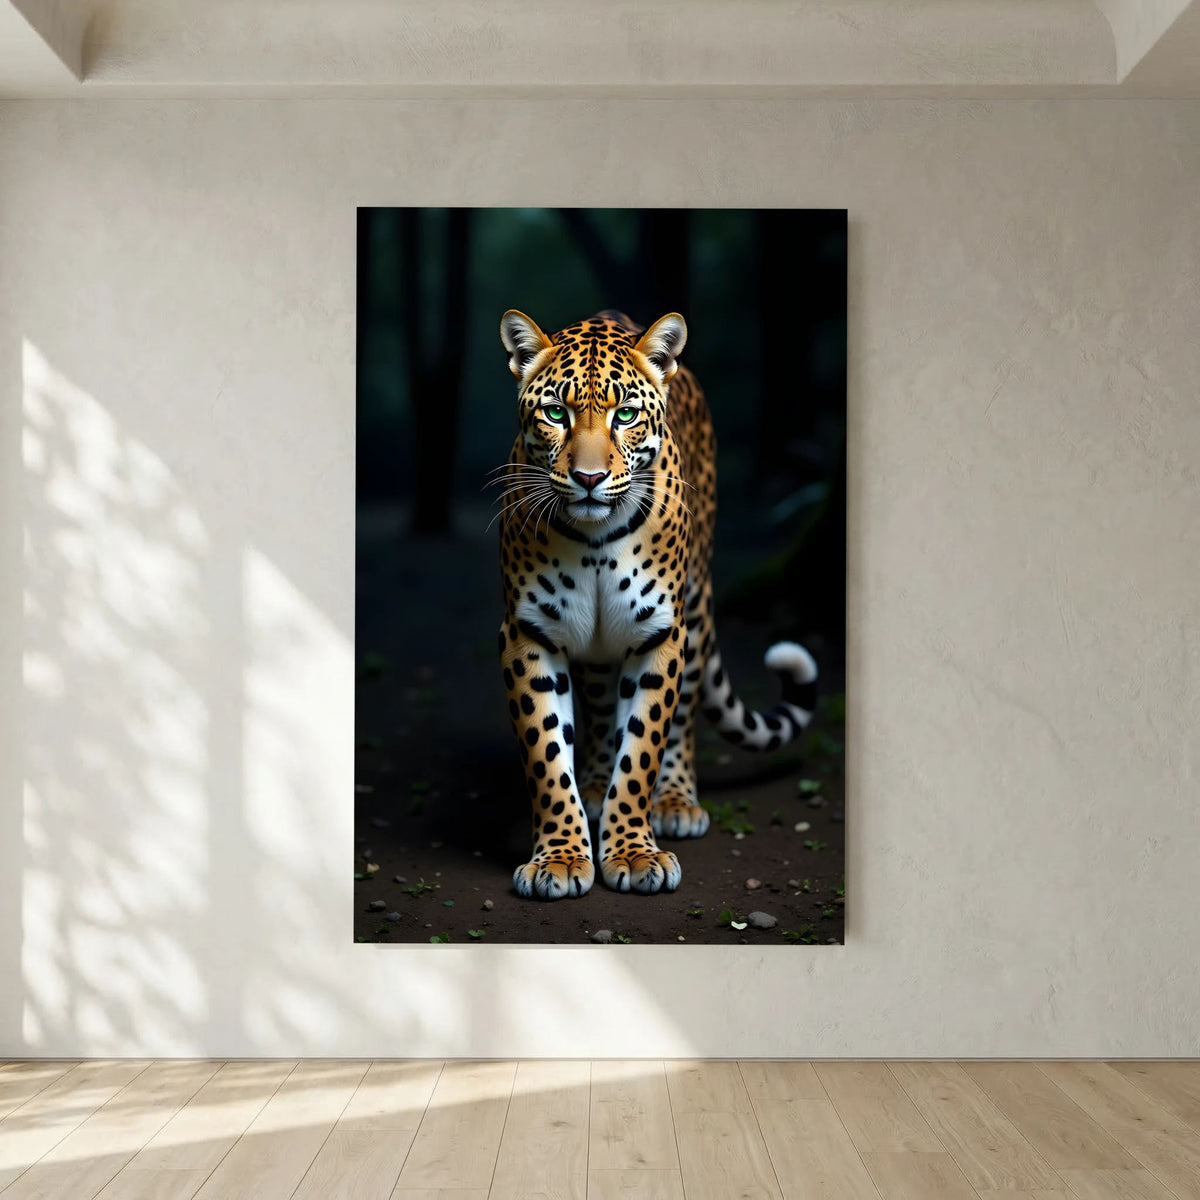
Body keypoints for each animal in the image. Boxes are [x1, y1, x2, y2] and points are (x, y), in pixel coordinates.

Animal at [495, 308, 818, 900]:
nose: (590, 479)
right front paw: (561, 857)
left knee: (683, 715)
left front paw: (633, 853)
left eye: (625, 415)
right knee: (600, 710)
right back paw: (594, 785)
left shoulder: (659, 635)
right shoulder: (529, 634)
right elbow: (547, 754)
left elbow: (643, 747)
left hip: (696, 609)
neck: (594, 541)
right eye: (555, 412)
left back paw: (674, 802)